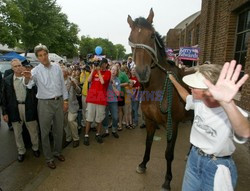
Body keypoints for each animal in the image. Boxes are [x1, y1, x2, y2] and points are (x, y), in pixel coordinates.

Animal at [128, 8, 192, 190]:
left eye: (151, 35)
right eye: (130, 38)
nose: (141, 73)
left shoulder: (173, 124)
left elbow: (169, 153)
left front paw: (167, 180)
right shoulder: (150, 120)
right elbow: (148, 142)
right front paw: (143, 164)